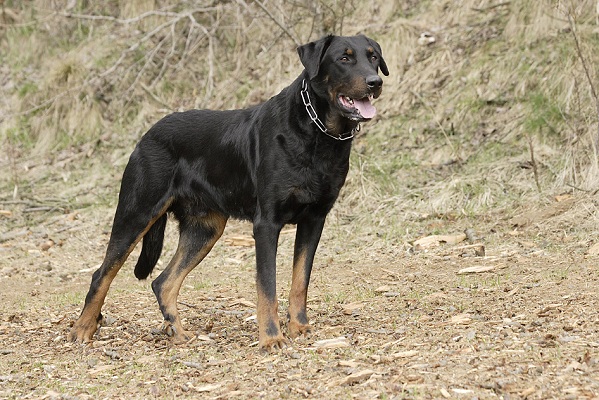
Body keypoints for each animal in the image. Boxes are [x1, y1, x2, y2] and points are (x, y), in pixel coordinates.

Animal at [70, 34, 390, 350]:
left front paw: (299, 327)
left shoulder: (314, 220)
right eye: (344, 58)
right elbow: (267, 286)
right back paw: (83, 329)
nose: (375, 82)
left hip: (205, 230)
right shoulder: (266, 224)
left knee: (163, 281)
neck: (318, 133)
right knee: (102, 274)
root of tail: (146, 136)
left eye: (373, 57)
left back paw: (178, 332)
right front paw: (271, 337)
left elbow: (300, 281)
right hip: (137, 213)